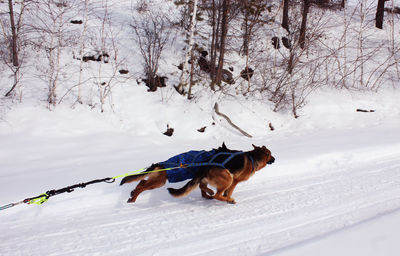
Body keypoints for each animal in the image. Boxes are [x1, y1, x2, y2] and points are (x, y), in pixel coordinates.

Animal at [119, 144, 276, 204]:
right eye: (270, 154)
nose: (275, 159)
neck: (252, 157)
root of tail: (160, 163)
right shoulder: (234, 181)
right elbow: (225, 191)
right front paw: (226, 197)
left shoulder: (202, 179)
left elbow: (203, 188)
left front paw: (209, 195)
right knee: (142, 185)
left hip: (157, 180)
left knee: (141, 182)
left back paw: (132, 196)